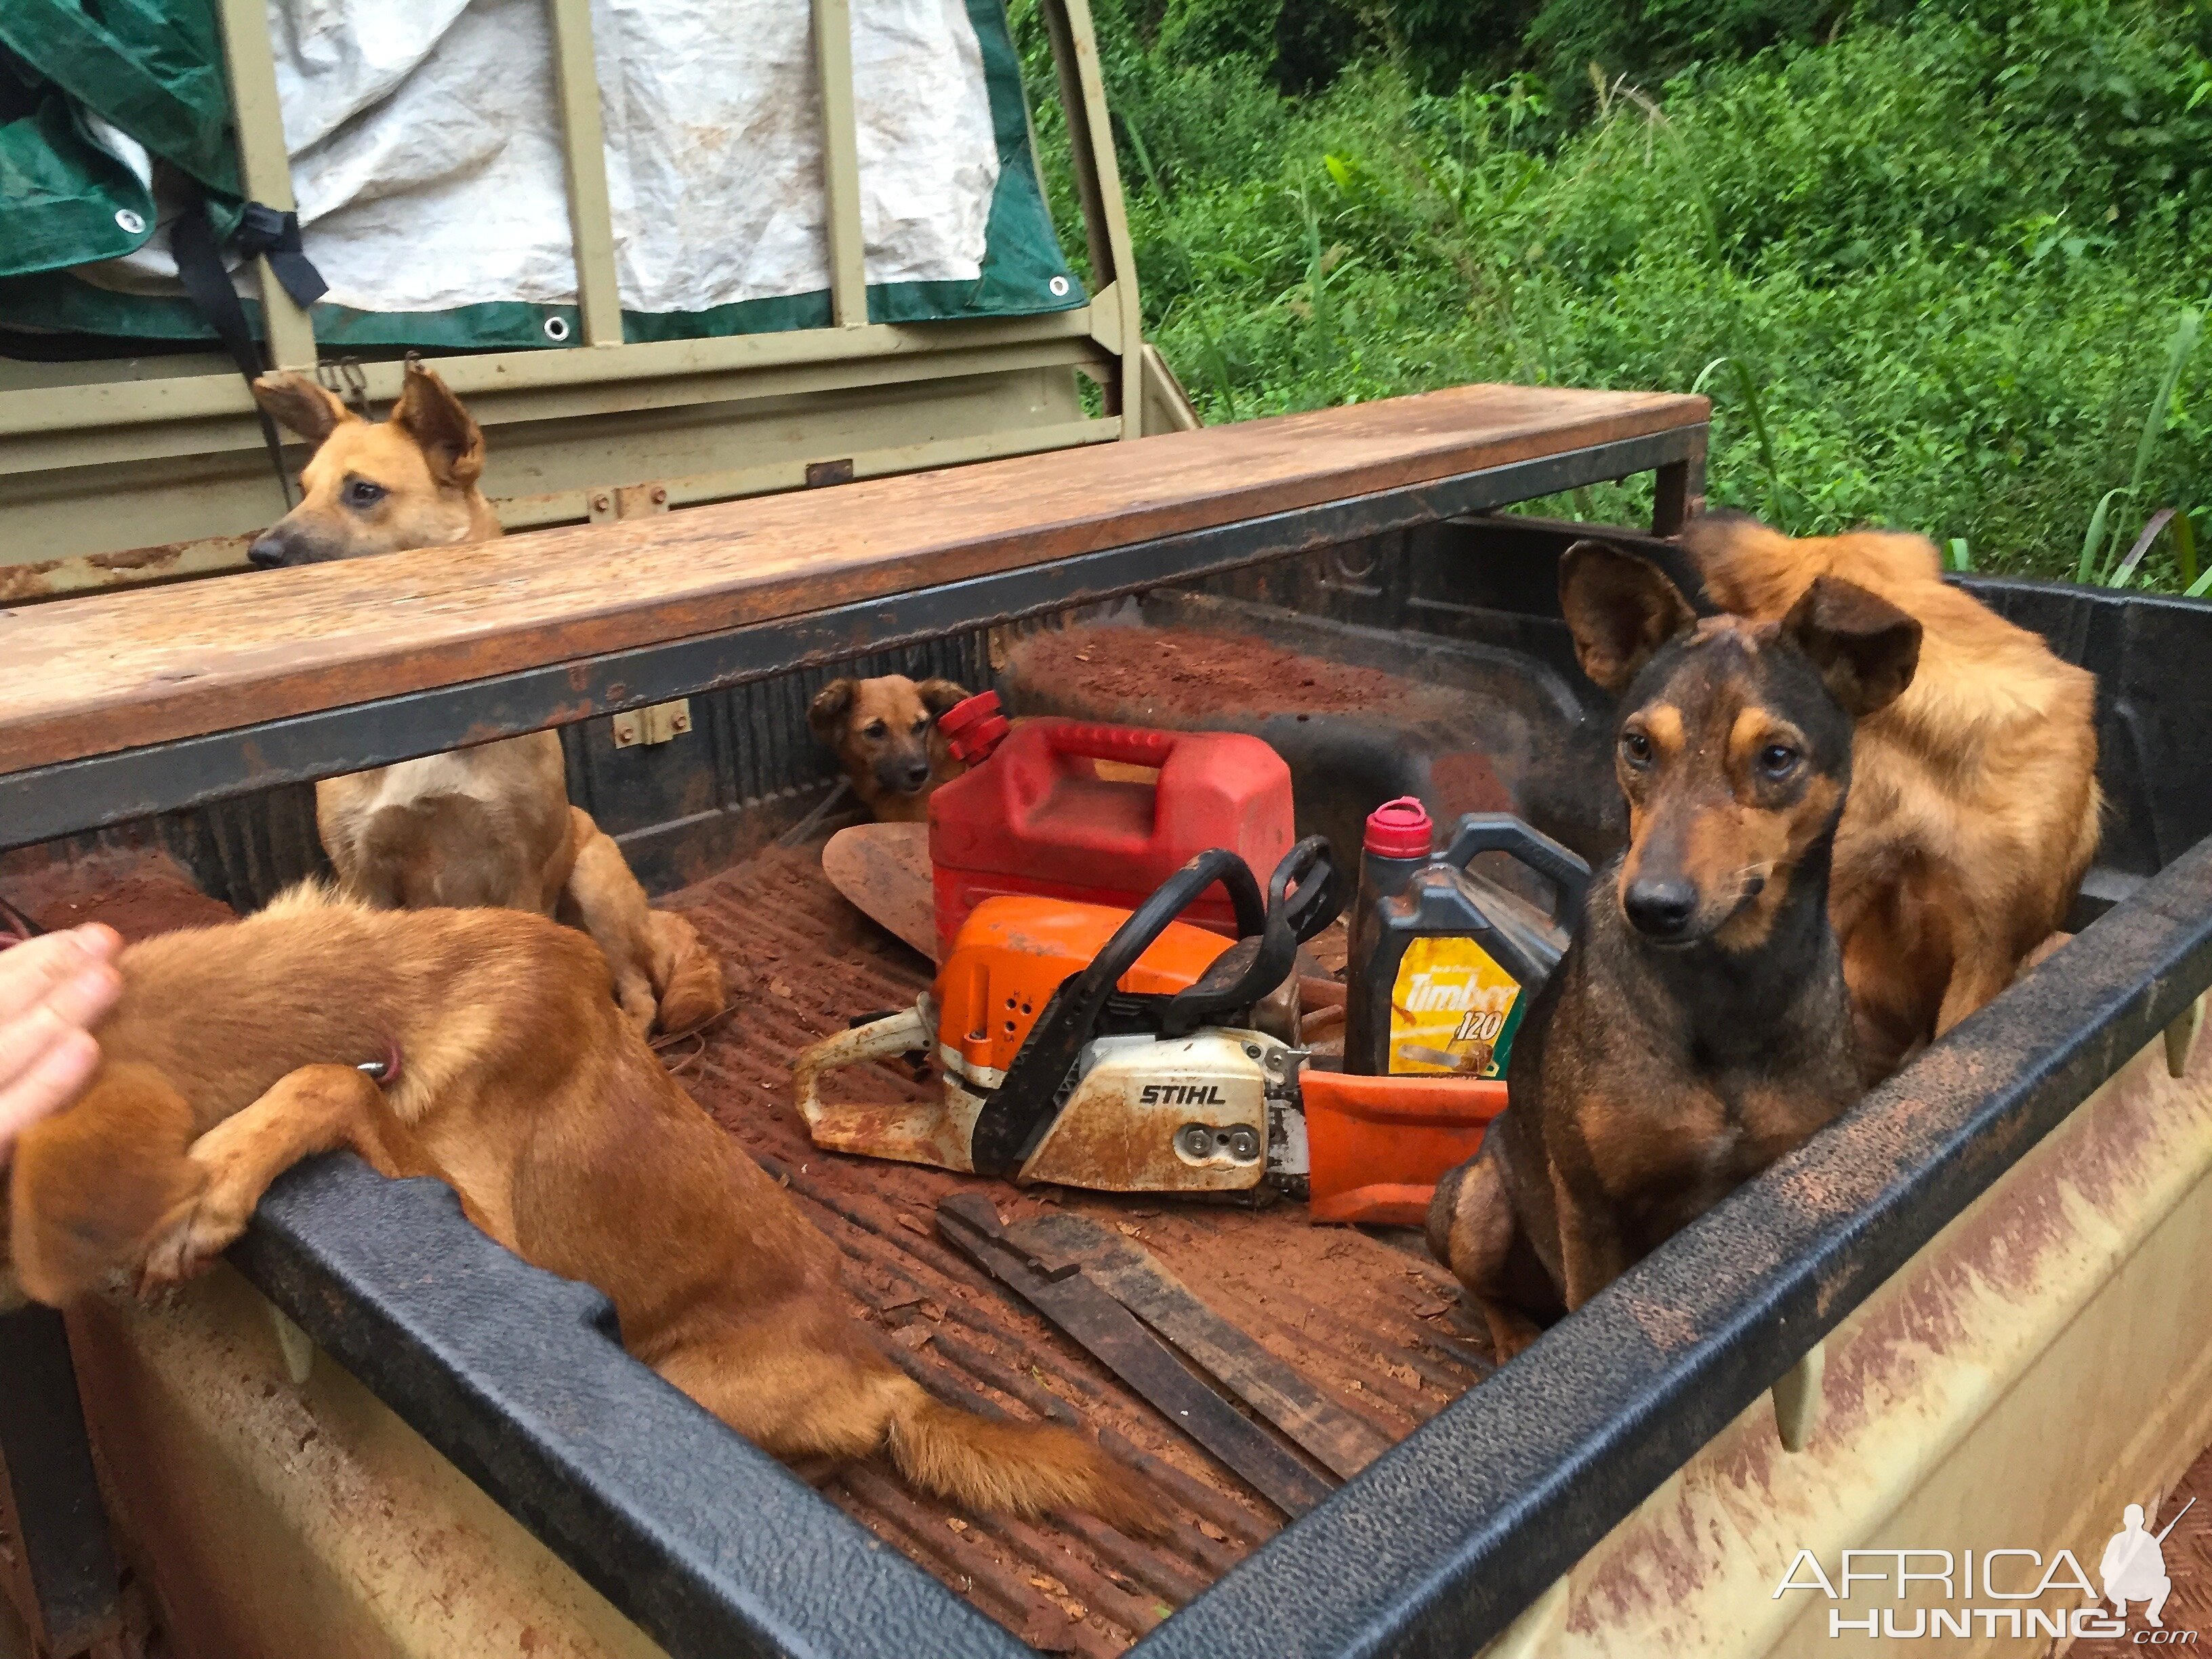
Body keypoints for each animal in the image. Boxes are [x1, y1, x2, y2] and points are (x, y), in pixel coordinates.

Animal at [1433, 546, 1920, 1362]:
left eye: (1778, 757)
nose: (1653, 906)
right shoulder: (1591, 1205)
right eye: (1638, 746)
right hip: (1478, 1202)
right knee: (1491, 1292)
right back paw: (1512, 1338)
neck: (1726, 983)